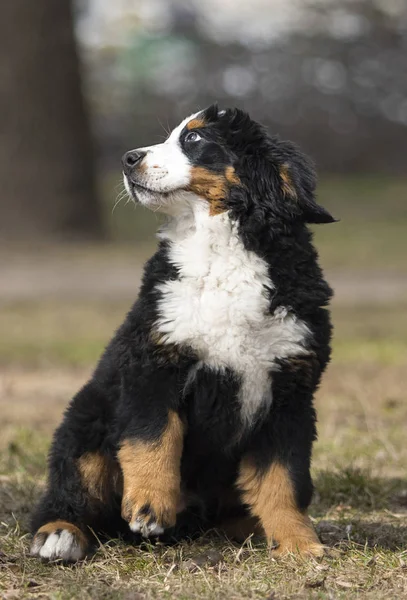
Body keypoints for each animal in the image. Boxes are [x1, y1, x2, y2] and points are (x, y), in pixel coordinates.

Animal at [31, 104, 334, 564]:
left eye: (193, 139)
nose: (128, 159)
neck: (220, 252)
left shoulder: (290, 392)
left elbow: (283, 478)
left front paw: (299, 544)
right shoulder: (154, 364)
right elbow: (153, 439)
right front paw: (149, 504)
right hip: (86, 421)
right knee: (71, 491)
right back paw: (59, 533)